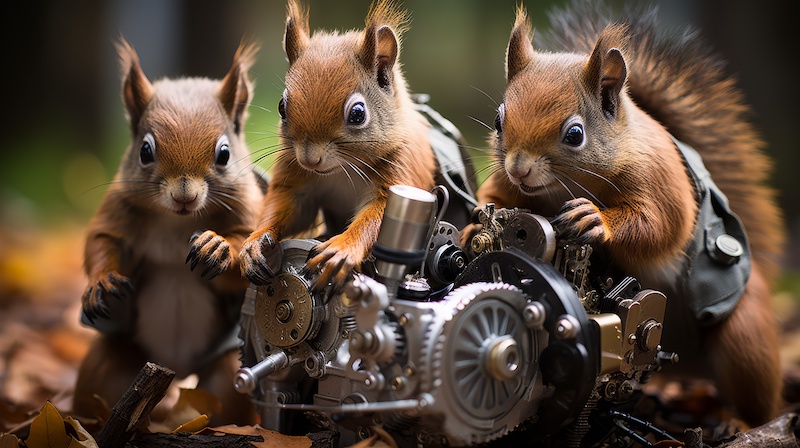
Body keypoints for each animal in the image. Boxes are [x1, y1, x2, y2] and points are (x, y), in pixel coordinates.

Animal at [70, 36, 260, 426]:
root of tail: (175, 369)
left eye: (224, 154)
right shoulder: (117, 211)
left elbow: (246, 257)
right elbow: (101, 241)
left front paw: (216, 247)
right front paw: (102, 282)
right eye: (145, 150)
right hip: (110, 365)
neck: (179, 221)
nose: (184, 196)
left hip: (226, 373)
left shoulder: (251, 213)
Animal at [241, 0, 460, 290]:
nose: (310, 159)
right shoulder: (294, 173)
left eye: (357, 113)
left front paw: (341, 249)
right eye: (281, 107)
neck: (342, 170)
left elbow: (376, 217)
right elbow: (289, 206)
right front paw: (255, 242)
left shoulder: (403, 167)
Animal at [468, 0, 788, 428]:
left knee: (758, 399)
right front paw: (474, 224)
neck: (565, 187)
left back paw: (736, 422)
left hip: (743, 336)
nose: (519, 169)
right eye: (498, 121)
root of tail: (687, 367)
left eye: (574, 134)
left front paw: (594, 220)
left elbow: (659, 224)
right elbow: (493, 198)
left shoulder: (661, 181)